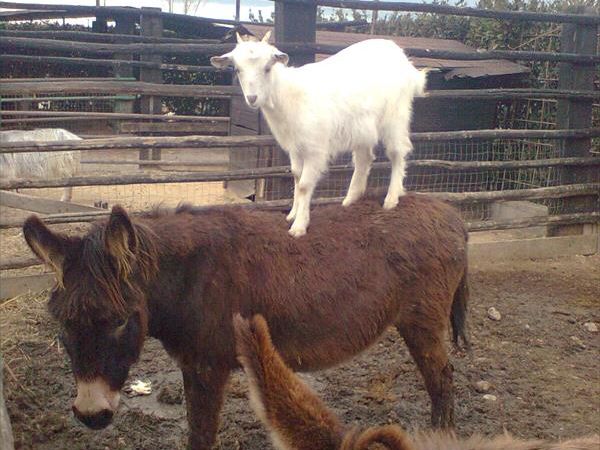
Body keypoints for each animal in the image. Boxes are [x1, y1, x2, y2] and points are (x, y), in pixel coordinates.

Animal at [211, 32, 426, 237]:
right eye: (237, 69)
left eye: (267, 68)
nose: (252, 98)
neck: (288, 96)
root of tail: (402, 58)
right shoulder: (296, 147)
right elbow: (296, 177)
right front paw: (292, 214)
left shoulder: (315, 147)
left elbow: (305, 185)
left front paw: (299, 226)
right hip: (362, 129)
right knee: (364, 159)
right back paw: (350, 201)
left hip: (395, 117)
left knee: (397, 153)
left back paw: (391, 199)